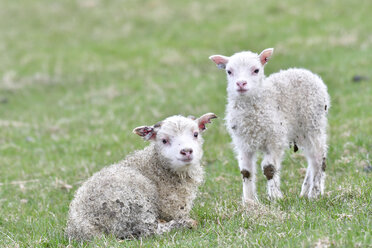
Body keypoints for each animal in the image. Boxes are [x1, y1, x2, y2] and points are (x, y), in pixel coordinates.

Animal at [65, 113, 217, 241]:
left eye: (196, 134)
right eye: (164, 140)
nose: (186, 151)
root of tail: (83, 227)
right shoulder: (172, 208)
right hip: (131, 206)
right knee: (149, 230)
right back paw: (187, 224)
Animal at [211, 48, 330, 202]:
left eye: (256, 70)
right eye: (229, 71)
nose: (241, 84)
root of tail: (308, 73)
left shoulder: (274, 139)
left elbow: (269, 168)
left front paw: (275, 196)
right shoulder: (243, 143)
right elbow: (246, 171)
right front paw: (249, 201)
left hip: (313, 124)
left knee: (319, 157)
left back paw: (315, 193)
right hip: (301, 132)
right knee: (312, 158)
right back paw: (305, 191)